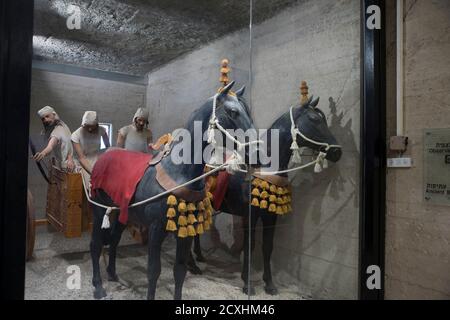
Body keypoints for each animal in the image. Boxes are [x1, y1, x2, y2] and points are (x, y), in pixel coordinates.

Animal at [189, 95, 342, 296]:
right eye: (314, 119)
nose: (337, 151)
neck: (264, 167)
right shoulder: (250, 216)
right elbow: (250, 245)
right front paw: (247, 284)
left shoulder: (271, 217)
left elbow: (267, 247)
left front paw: (269, 284)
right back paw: (192, 266)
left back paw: (199, 256)